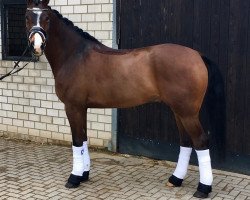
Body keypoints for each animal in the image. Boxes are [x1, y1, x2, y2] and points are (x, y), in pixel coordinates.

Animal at [24, 0, 225, 198]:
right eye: (27, 17)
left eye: (47, 18)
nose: (36, 46)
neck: (74, 55)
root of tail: (197, 55)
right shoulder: (82, 108)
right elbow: (84, 138)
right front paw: (84, 174)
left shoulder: (73, 107)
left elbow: (77, 141)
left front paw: (74, 178)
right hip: (178, 111)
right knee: (186, 142)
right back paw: (175, 179)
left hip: (187, 113)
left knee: (200, 141)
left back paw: (203, 188)